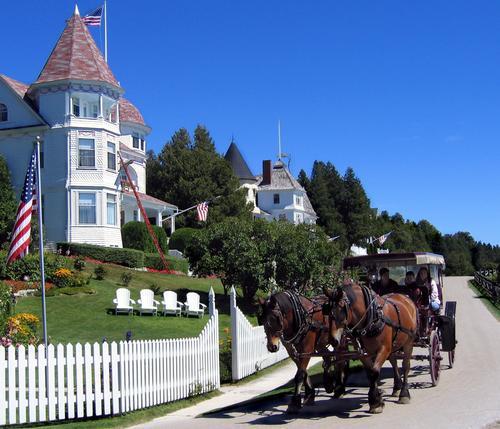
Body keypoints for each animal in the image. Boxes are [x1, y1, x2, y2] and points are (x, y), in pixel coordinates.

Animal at [324, 280, 418, 412]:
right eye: (327, 309)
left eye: (341, 307)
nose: (333, 340)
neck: (372, 317)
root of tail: (405, 297)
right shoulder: (363, 352)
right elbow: (370, 373)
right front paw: (376, 400)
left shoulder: (384, 349)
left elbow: (374, 371)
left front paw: (375, 401)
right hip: (393, 344)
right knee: (394, 362)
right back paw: (397, 387)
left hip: (409, 341)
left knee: (405, 366)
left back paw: (404, 393)